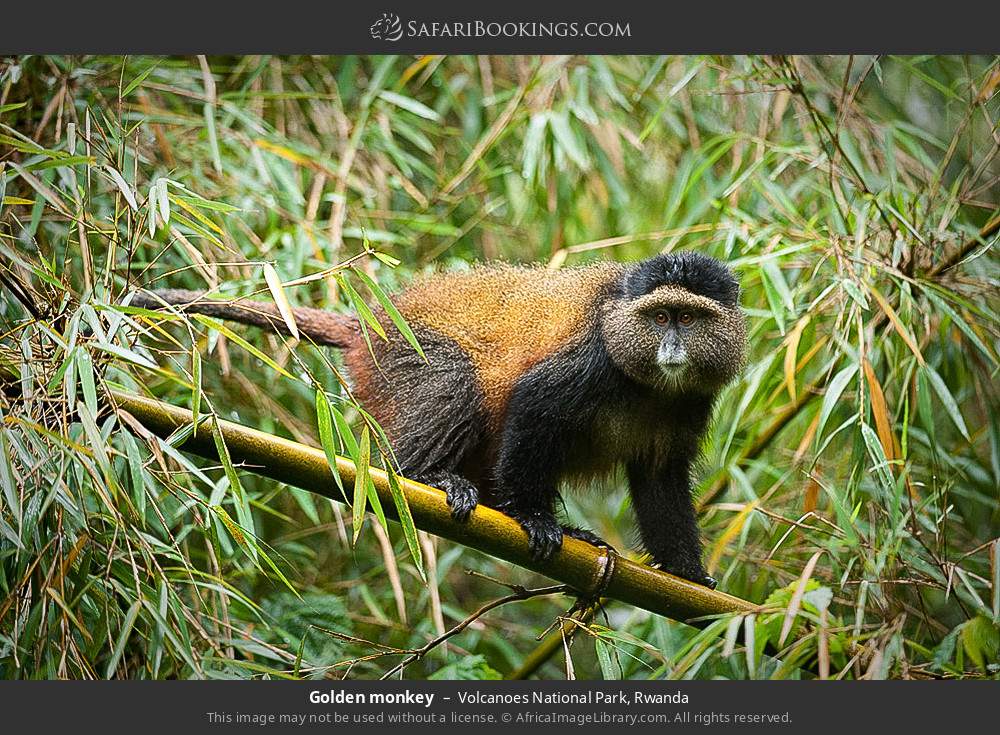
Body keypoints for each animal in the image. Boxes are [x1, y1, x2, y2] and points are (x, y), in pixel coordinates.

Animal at [131, 252, 747, 588]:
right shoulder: (591, 363)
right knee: (455, 382)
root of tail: (371, 325)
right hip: (407, 360)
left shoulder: (691, 404)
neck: (649, 383)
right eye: (661, 316)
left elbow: (661, 479)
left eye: (690, 319)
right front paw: (533, 518)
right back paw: (426, 476)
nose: (672, 346)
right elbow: (534, 403)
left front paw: (688, 576)